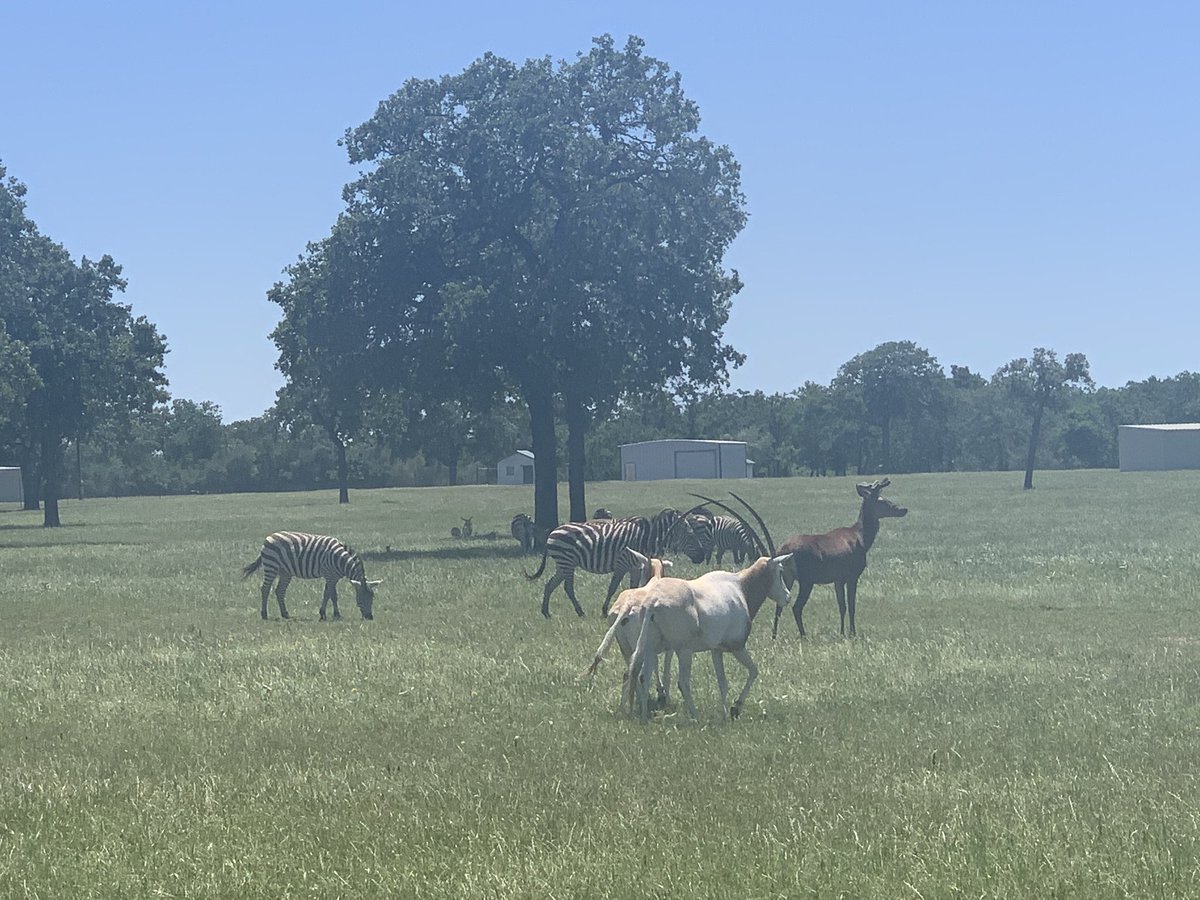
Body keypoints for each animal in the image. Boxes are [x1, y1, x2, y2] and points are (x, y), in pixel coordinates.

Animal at [240, 532, 379, 624]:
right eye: (360, 600)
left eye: (372, 599)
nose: (370, 617)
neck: (341, 560)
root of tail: (270, 536)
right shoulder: (329, 575)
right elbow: (328, 594)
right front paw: (323, 614)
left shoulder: (334, 577)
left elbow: (333, 595)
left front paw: (336, 614)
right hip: (271, 565)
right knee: (265, 589)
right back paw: (264, 614)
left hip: (285, 571)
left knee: (280, 591)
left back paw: (285, 614)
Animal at [523, 508, 705, 619]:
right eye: (691, 536)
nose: (702, 558)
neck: (645, 538)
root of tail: (553, 532)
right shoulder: (622, 564)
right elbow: (612, 587)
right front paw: (604, 611)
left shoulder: (634, 567)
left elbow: (634, 587)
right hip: (566, 561)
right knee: (567, 587)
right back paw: (580, 612)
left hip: (564, 564)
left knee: (549, 584)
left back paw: (546, 612)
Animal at [624, 556, 792, 724]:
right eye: (780, 571)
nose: (788, 597)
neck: (740, 587)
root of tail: (652, 602)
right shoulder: (737, 647)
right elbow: (753, 671)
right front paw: (735, 708)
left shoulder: (716, 650)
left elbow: (722, 682)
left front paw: (726, 714)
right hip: (684, 651)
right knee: (683, 682)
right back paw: (695, 717)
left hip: (650, 649)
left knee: (644, 677)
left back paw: (644, 719)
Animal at [772, 480, 902, 643]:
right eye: (882, 501)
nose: (903, 509)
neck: (863, 539)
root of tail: (783, 551)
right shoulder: (853, 575)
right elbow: (851, 605)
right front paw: (853, 633)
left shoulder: (838, 579)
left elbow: (842, 606)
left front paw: (842, 632)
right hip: (807, 578)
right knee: (796, 607)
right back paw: (804, 635)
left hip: (786, 576)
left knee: (779, 604)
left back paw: (774, 636)